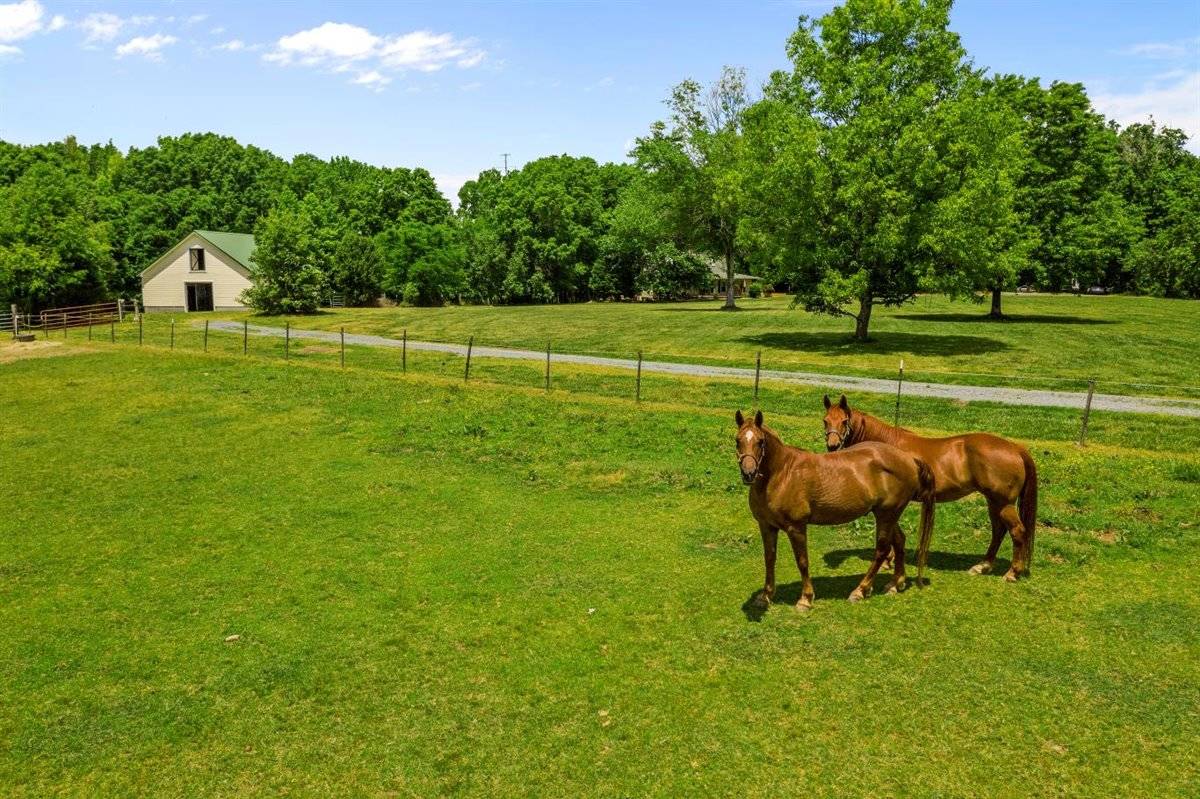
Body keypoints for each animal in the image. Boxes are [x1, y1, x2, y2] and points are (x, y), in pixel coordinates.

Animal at [735, 409, 936, 611]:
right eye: (738, 440)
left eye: (760, 441)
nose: (748, 474)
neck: (783, 474)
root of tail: (910, 459)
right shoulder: (766, 526)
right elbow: (769, 558)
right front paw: (765, 596)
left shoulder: (796, 528)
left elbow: (802, 561)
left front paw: (805, 599)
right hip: (887, 514)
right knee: (899, 541)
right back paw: (896, 583)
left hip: (887, 515)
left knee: (882, 550)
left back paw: (860, 590)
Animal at [821, 394, 1038, 582]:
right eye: (825, 420)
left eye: (844, 421)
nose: (832, 446)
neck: (885, 448)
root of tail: (1015, 448)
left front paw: (887, 562)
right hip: (994, 501)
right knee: (998, 530)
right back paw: (983, 565)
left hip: (1003, 503)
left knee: (1017, 531)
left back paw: (1012, 573)